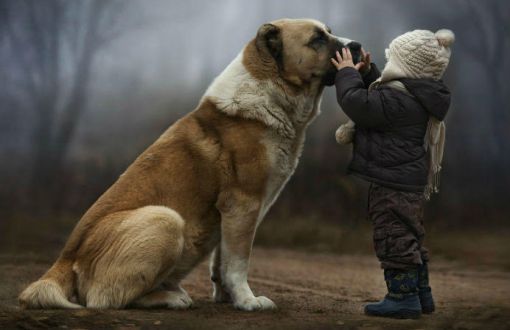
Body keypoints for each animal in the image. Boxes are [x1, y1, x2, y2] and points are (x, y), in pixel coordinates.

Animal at [18, 18, 362, 312]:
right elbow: (238, 261)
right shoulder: (243, 204)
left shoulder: (232, 214)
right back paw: (171, 297)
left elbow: (221, 261)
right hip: (165, 219)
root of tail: (63, 260)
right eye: (317, 39)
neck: (271, 92)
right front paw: (248, 301)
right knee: (104, 299)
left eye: (329, 32)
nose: (357, 45)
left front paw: (227, 297)